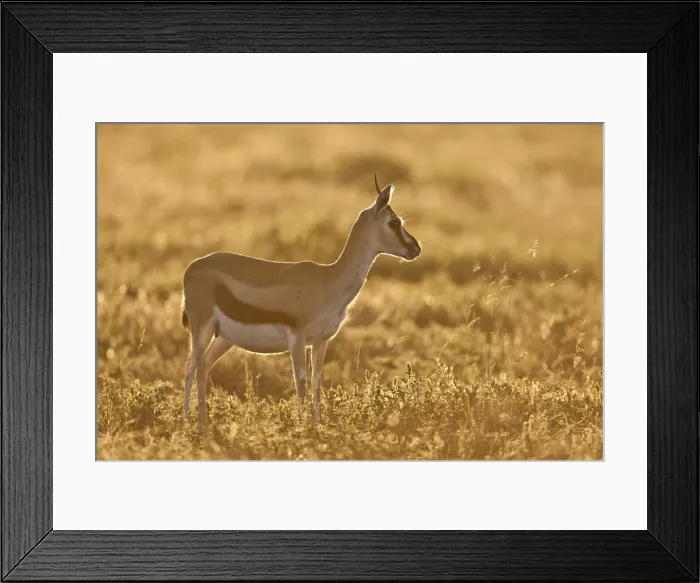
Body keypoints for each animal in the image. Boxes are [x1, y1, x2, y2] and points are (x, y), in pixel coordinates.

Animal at [180, 175, 422, 428]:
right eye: (394, 222)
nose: (416, 248)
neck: (329, 280)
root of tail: (192, 267)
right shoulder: (297, 339)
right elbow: (301, 383)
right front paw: (300, 426)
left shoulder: (321, 341)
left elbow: (316, 381)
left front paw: (318, 425)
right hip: (202, 330)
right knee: (189, 368)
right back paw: (187, 421)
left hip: (224, 338)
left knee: (203, 366)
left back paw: (204, 422)